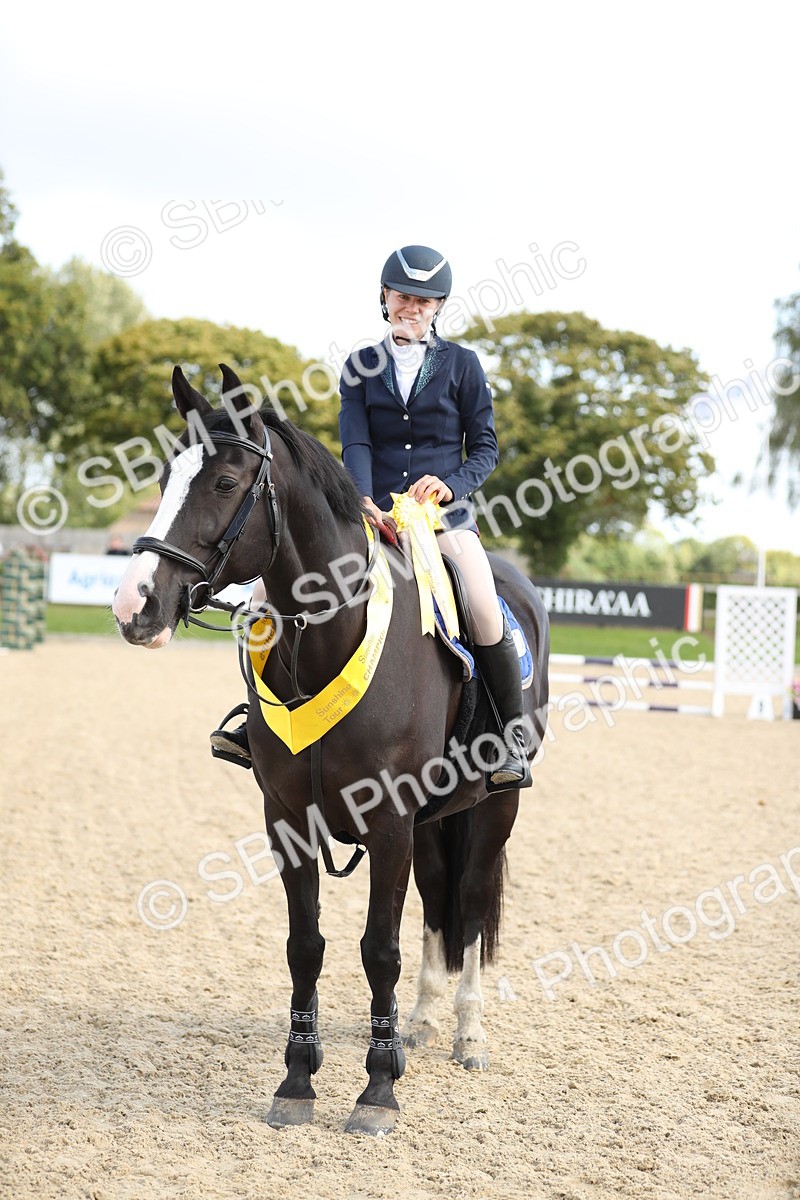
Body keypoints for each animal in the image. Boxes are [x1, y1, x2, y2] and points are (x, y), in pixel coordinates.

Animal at [112, 363, 550, 1136]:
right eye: (166, 477)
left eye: (224, 482)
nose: (135, 605)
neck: (328, 635)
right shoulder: (289, 821)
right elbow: (305, 946)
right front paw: (297, 1081)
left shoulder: (391, 823)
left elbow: (379, 949)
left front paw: (377, 1091)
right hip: (434, 822)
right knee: (437, 903)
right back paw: (422, 1025)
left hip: (494, 811)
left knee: (467, 906)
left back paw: (468, 1036)